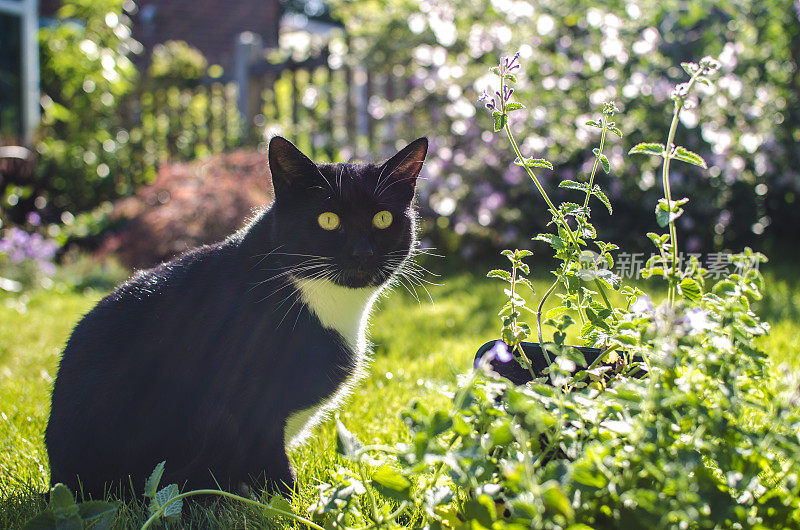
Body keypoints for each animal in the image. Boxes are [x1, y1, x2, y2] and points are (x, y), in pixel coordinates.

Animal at [46, 135, 428, 496]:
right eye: (328, 220)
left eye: (382, 219)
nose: (363, 253)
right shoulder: (249, 408)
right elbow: (276, 475)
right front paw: (296, 507)